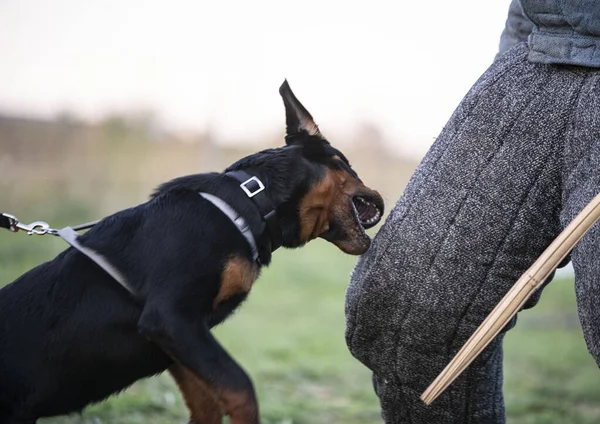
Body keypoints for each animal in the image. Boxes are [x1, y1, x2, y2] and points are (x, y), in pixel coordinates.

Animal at [0, 81, 384, 422]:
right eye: (348, 163)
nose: (379, 195)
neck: (251, 202)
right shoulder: (171, 318)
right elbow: (241, 390)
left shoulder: (180, 340)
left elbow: (209, 405)